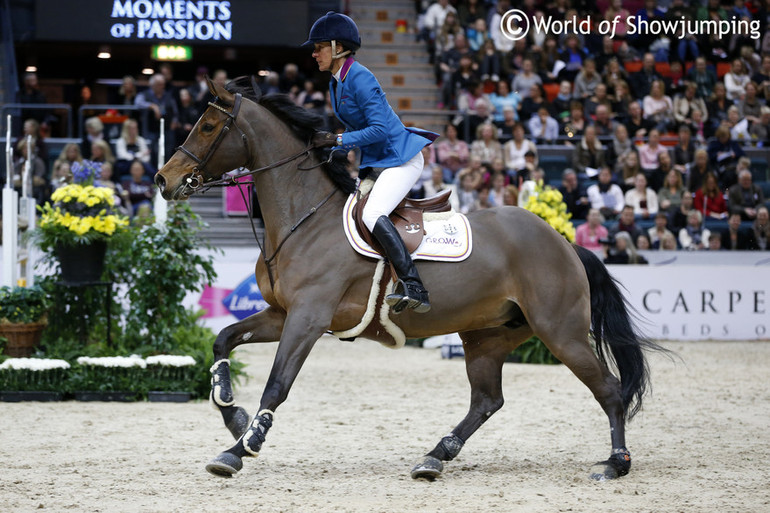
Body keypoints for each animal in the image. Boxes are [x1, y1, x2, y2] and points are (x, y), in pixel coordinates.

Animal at [154, 76, 660, 480]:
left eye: (208, 126)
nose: (163, 179)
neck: (303, 218)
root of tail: (563, 242)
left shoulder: (308, 318)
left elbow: (277, 384)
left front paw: (242, 447)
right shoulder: (281, 313)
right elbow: (222, 339)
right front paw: (233, 414)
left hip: (560, 331)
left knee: (607, 389)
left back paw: (615, 463)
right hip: (488, 334)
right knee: (486, 400)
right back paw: (435, 457)